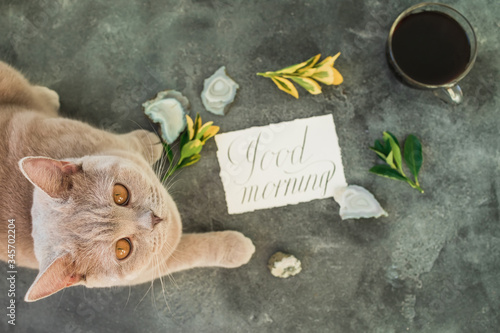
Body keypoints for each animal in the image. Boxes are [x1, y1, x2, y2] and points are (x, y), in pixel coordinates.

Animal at [0, 59, 254, 300]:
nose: (153, 219)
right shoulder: (156, 263)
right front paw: (235, 247)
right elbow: (193, 250)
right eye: (123, 250)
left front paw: (149, 142)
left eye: (119, 194)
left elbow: (132, 142)